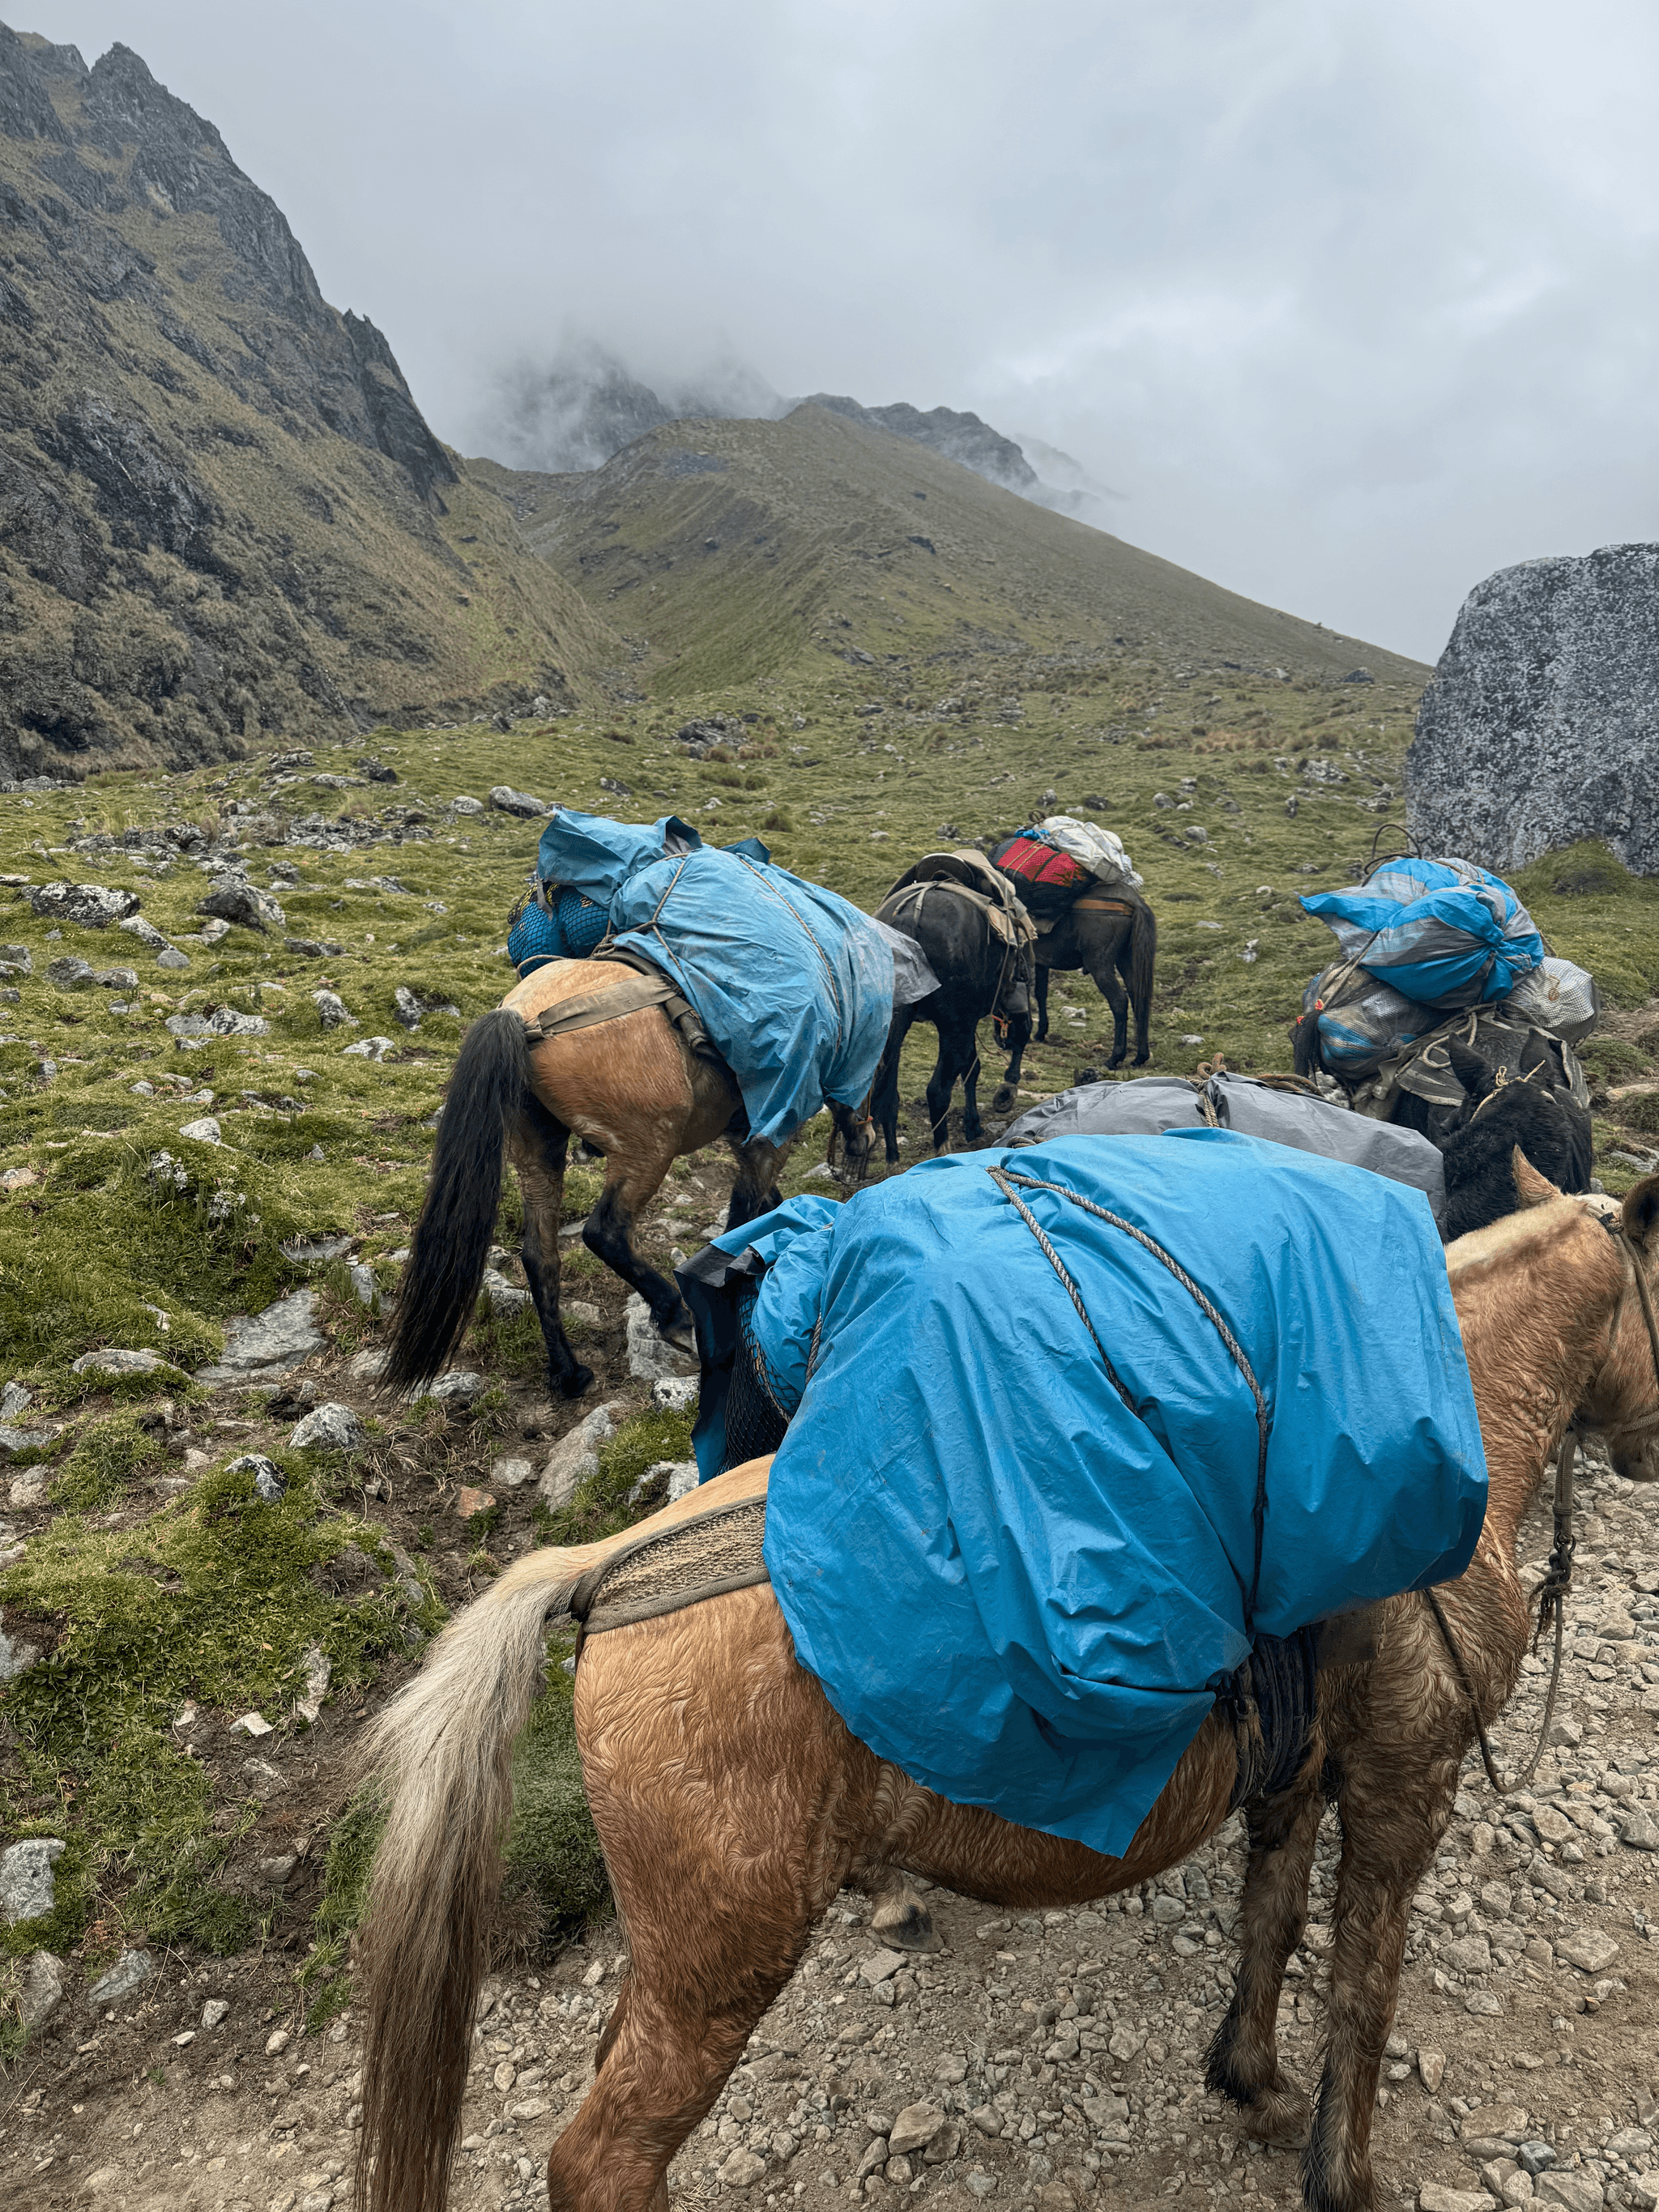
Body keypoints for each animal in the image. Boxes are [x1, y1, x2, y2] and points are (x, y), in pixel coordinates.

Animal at [358, 1167, 1654, 2203]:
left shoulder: (1300, 1775)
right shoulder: (1405, 1786)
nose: (1646, 1449)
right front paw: (1342, 2170)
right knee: (602, 2157)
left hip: (678, 1958)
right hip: (719, 1962)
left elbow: (1272, 1924)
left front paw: (1252, 2082)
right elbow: (1363, 1988)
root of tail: (609, 1571)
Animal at [389, 955, 876, 1397]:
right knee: (606, 1232)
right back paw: (676, 1317)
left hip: (537, 1151)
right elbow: (740, 1220)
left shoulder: (746, 1142)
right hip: (648, 1149)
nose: (865, 1141)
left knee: (540, 1256)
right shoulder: (767, 1142)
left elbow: (765, 1205)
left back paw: (568, 1373)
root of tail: (524, 1018)